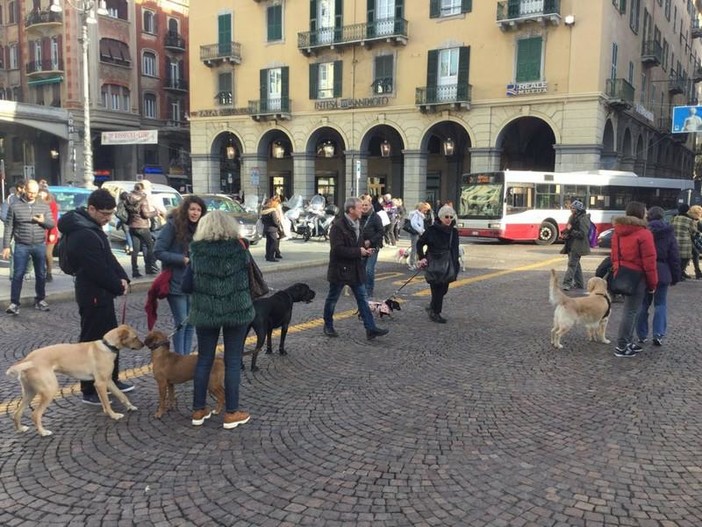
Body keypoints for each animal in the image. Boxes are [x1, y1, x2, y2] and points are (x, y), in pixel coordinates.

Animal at [5, 326, 146, 438]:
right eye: (135, 337)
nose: (144, 344)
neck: (107, 346)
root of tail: (28, 359)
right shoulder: (100, 383)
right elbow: (107, 402)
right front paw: (113, 415)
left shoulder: (108, 381)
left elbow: (120, 395)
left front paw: (130, 406)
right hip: (49, 390)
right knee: (35, 414)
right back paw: (43, 432)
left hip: (30, 392)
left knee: (17, 413)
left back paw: (21, 429)